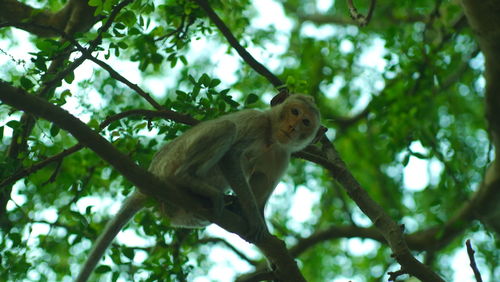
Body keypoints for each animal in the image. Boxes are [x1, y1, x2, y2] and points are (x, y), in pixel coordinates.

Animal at [76, 94, 322, 282]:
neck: (271, 138)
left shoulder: (281, 158)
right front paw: (252, 217)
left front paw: (272, 255)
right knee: (226, 127)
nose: (293, 127)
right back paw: (186, 179)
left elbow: (261, 196)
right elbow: (232, 157)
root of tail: (151, 175)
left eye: (306, 122)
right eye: (294, 112)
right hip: (174, 158)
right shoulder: (256, 123)